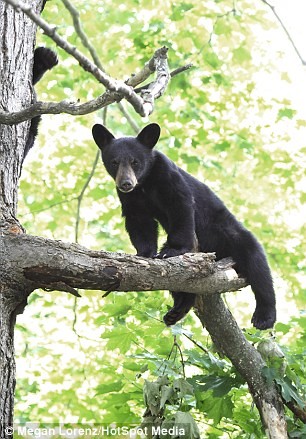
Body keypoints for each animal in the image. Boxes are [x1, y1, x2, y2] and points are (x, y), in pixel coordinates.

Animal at [92, 123, 276, 330]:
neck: (145, 184)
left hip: (230, 233)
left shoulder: (168, 177)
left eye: (135, 162)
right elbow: (139, 222)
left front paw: (171, 250)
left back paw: (264, 316)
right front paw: (144, 254)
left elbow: (180, 208)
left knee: (258, 267)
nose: (126, 183)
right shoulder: (132, 199)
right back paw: (176, 311)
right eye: (114, 162)